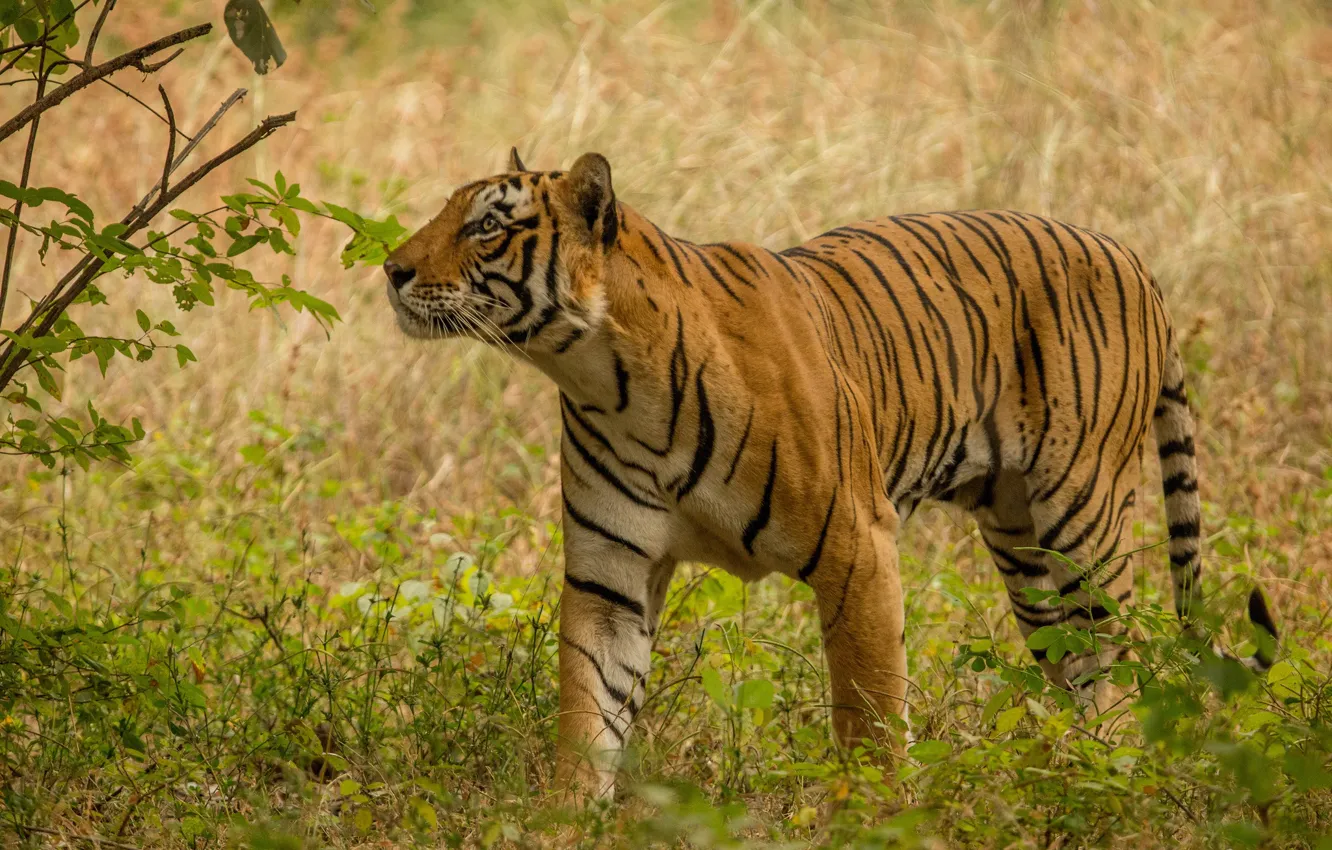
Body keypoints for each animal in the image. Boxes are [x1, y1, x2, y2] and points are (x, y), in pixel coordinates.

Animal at [381, 148, 1280, 800]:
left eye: (487, 227)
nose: (390, 269)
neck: (602, 372)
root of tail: (1129, 253)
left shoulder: (858, 545)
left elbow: (871, 709)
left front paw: (878, 818)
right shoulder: (611, 575)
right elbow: (589, 708)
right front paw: (567, 818)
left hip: (1082, 517)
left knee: (1116, 660)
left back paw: (1108, 778)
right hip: (1024, 543)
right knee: (1072, 663)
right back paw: (1062, 776)